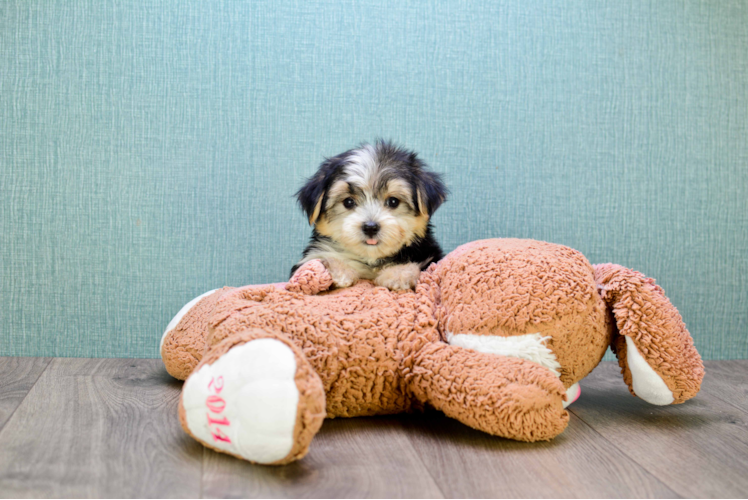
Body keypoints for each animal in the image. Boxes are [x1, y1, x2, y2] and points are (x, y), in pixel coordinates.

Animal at [290, 139, 444, 292]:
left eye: (393, 201)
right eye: (348, 202)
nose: (370, 227)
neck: (371, 259)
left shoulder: (430, 257)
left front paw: (399, 273)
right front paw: (339, 268)